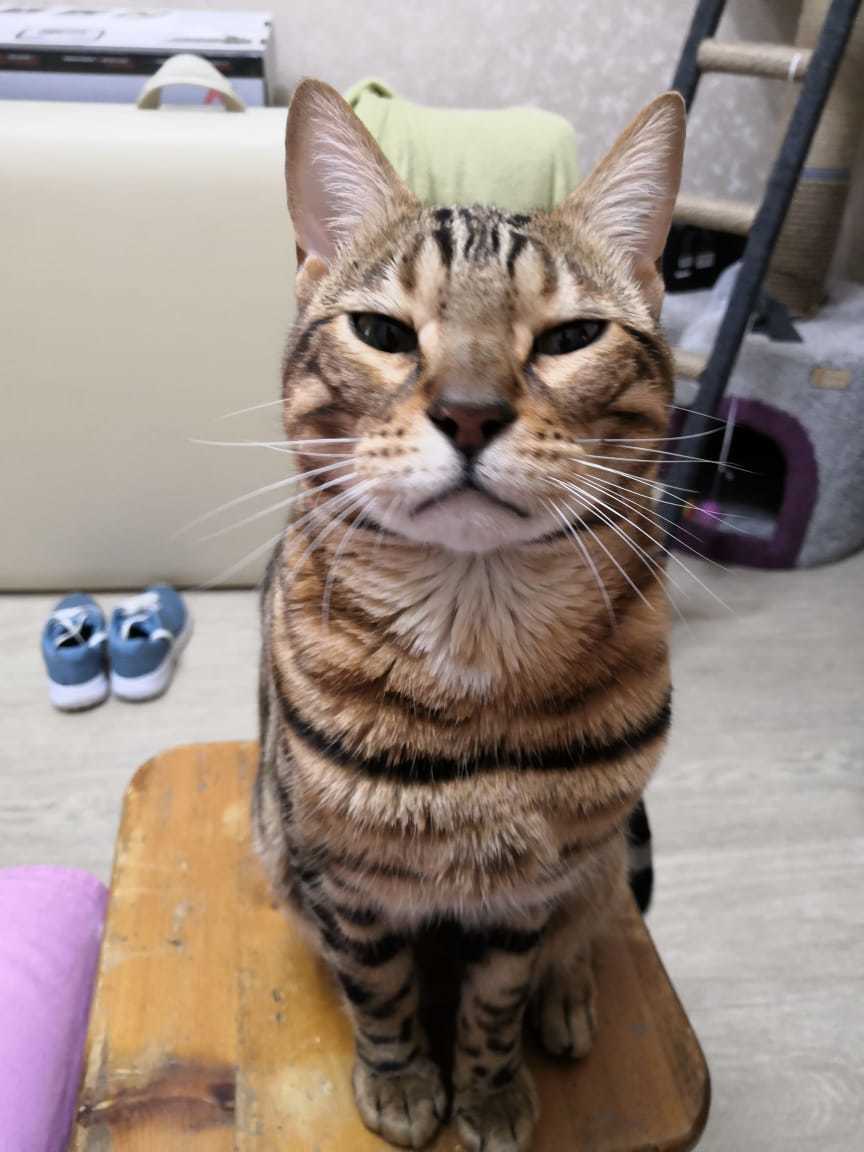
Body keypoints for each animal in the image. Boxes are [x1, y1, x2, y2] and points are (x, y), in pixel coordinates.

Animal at [253, 83, 686, 1152]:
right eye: (383, 331)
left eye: (572, 338)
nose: (471, 410)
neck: (474, 624)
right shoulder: (345, 883)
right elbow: (379, 994)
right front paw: (406, 1081)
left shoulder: (530, 889)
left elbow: (497, 996)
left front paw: (490, 1090)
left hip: (599, 856)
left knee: (594, 917)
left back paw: (568, 1000)